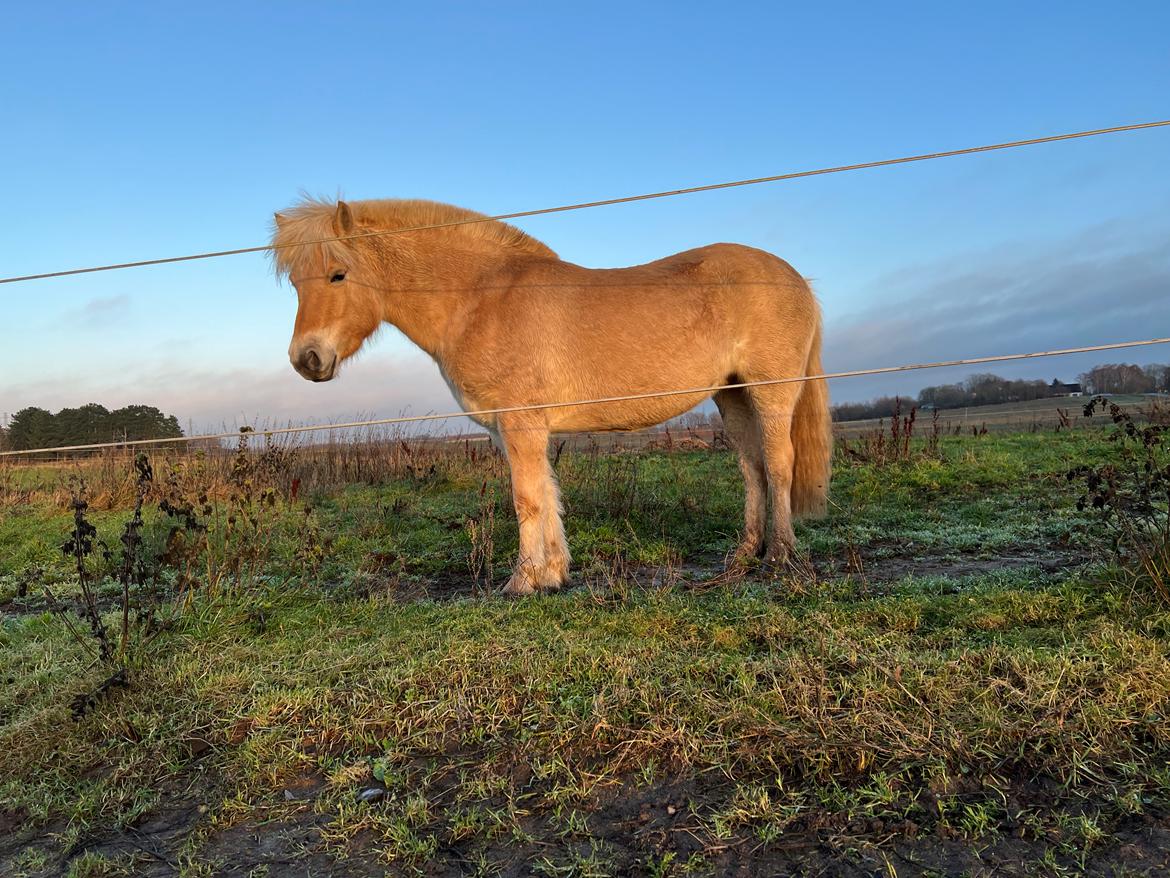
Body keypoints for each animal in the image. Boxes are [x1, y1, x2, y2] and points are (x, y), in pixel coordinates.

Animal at [273, 199, 833, 599]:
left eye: (338, 273)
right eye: (295, 282)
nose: (307, 359)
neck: (480, 298)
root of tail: (795, 278)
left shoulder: (519, 424)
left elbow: (526, 498)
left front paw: (521, 581)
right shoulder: (522, 430)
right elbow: (546, 493)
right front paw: (553, 574)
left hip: (769, 392)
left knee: (778, 463)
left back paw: (779, 557)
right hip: (732, 396)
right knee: (752, 468)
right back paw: (743, 556)